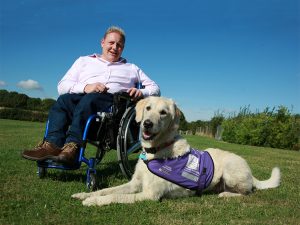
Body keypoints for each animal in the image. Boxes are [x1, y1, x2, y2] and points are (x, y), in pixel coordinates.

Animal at [71, 96, 280, 206]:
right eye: (148, 108)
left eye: (163, 113)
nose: (147, 124)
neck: (156, 150)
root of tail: (251, 173)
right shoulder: (134, 184)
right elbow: (107, 190)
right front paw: (85, 195)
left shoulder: (149, 195)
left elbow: (115, 196)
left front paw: (92, 202)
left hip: (231, 172)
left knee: (248, 192)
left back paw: (227, 195)